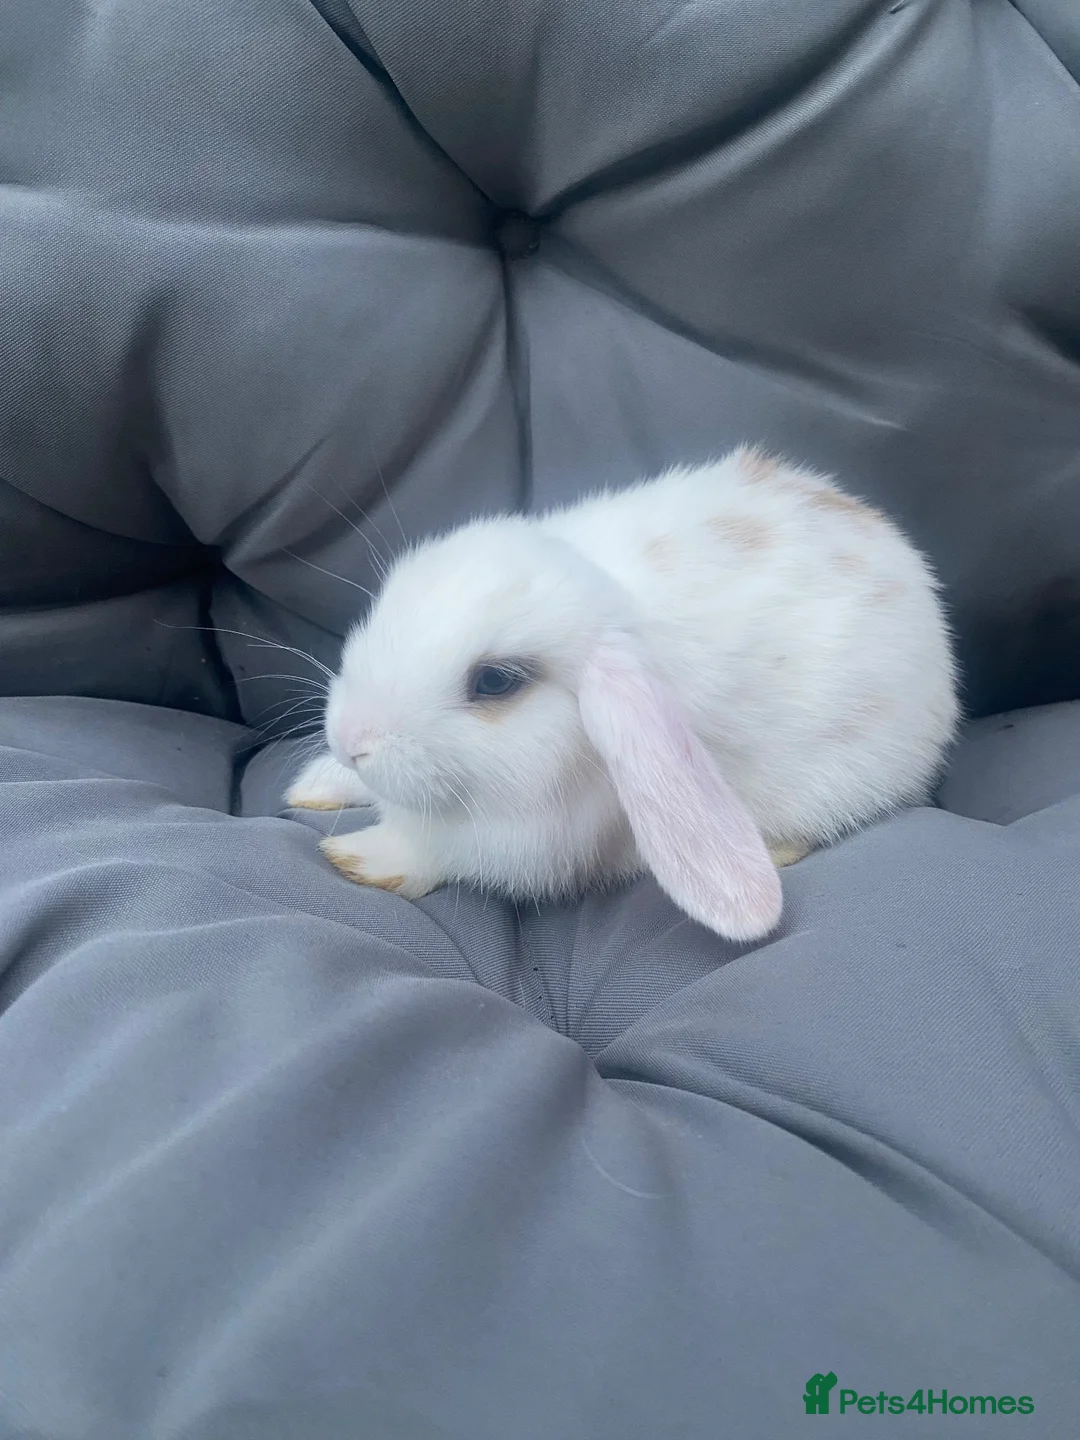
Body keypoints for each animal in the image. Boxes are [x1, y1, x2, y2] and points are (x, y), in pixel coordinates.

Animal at [285, 446, 959, 942]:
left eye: (496, 681)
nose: (351, 739)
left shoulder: (521, 839)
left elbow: (434, 852)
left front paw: (360, 857)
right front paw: (316, 786)